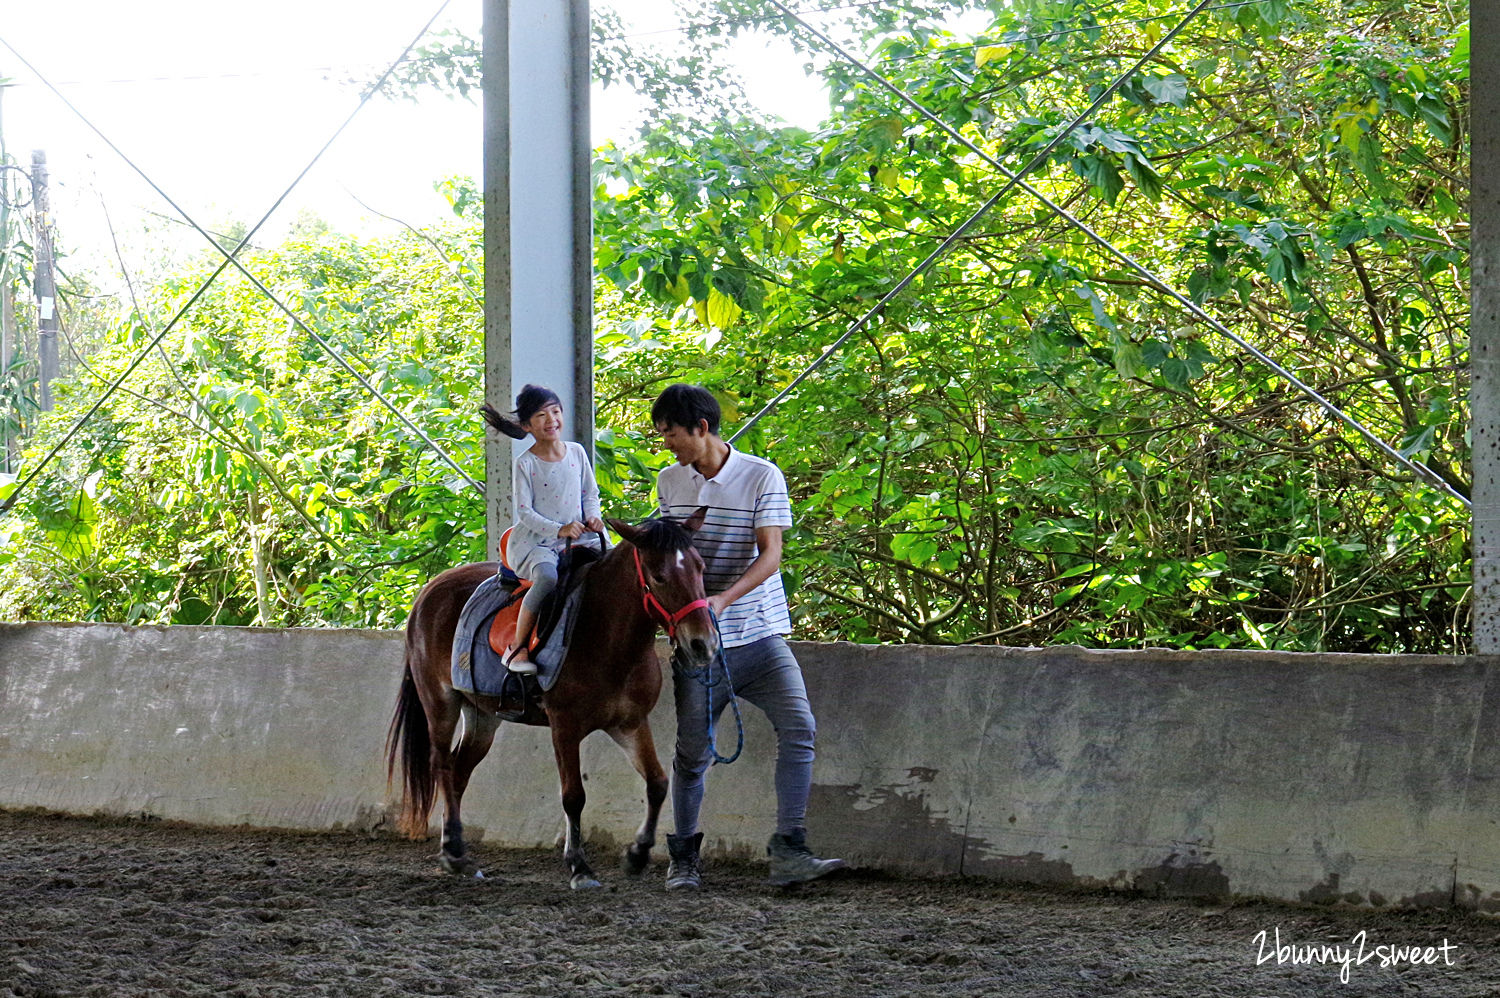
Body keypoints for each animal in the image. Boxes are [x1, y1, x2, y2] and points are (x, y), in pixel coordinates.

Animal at [384, 510, 717, 882]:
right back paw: (453, 851)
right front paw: (579, 866)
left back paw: (456, 853)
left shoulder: (629, 723)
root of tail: (428, 591)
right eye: (659, 576)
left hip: (481, 716)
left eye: (700, 567)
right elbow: (573, 796)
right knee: (441, 764)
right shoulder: (564, 726)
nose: (702, 644)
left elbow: (657, 783)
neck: (605, 632)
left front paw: (637, 854)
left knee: (458, 772)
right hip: (440, 703)